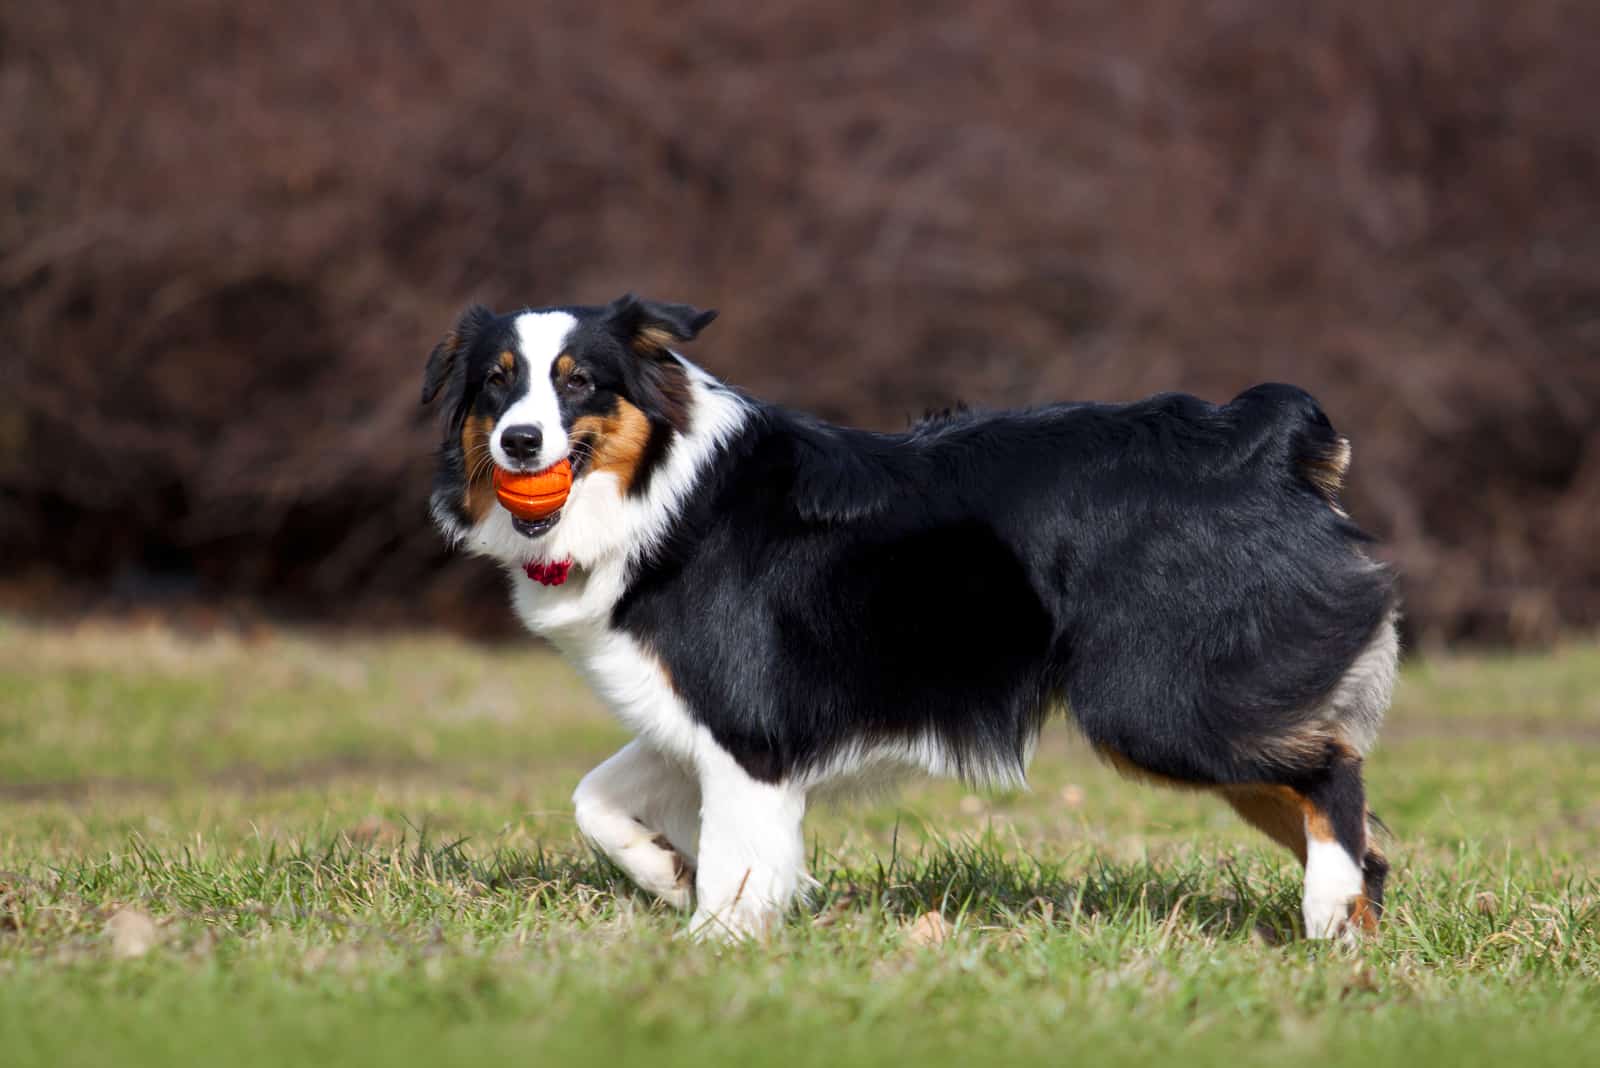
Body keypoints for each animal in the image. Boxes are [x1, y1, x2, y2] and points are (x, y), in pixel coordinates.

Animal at [425, 295, 1401, 940]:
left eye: (579, 383)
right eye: (495, 387)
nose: (520, 442)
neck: (658, 492)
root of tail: (1263, 440)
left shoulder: (748, 726)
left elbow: (739, 860)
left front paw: (711, 945)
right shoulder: (699, 717)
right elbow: (594, 800)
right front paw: (666, 874)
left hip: (1158, 703)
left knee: (1333, 773)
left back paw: (1326, 907)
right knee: (1347, 816)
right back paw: (1348, 931)